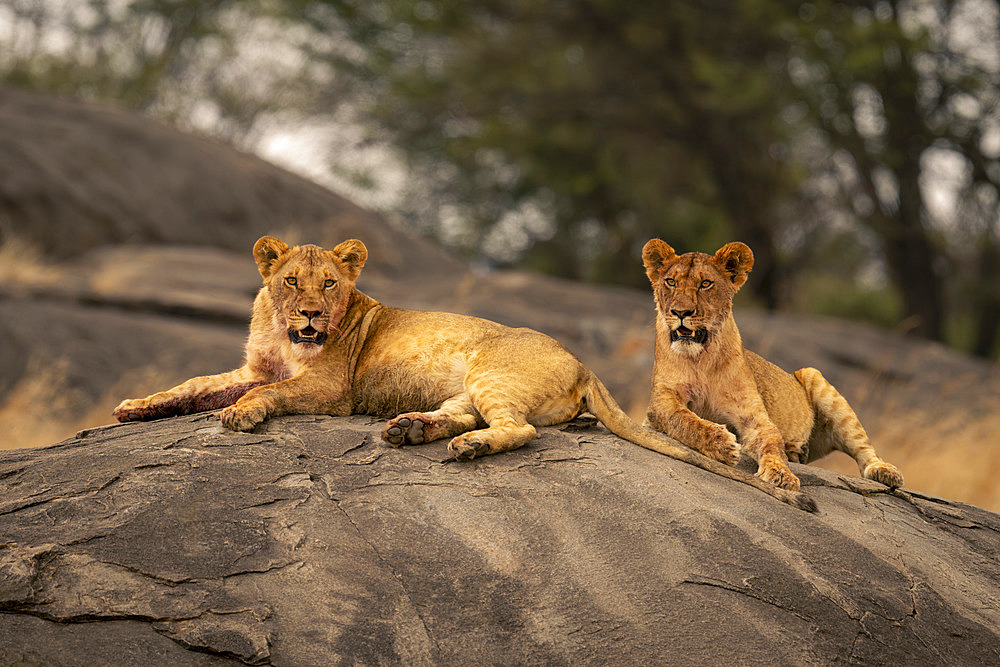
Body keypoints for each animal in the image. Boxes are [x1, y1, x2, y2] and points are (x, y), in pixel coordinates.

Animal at [115, 235, 820, 512]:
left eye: (330, 284)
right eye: (290, 281)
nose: (311, 314)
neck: (285, 334)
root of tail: (584, 362)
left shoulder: (328, 389)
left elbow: (273, 390)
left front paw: (242, 413)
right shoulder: (247, 362)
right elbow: (195, 386)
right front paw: (135, 406)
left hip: (489, 371)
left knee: (519, 431)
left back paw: (467, 448)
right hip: (465, 387)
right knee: (463, 416)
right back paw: (410, 430)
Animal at [640, 237, 908, 494]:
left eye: (705, 284)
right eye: (670, 282)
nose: (680, 312)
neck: (700, 359)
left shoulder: (753, 416)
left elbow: (771, 442)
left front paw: (781, 474)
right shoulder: (658, 406)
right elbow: (683, 418)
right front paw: (721, 443)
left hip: (815, 377)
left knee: (863, 449)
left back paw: (881, 470)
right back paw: (796, 451)